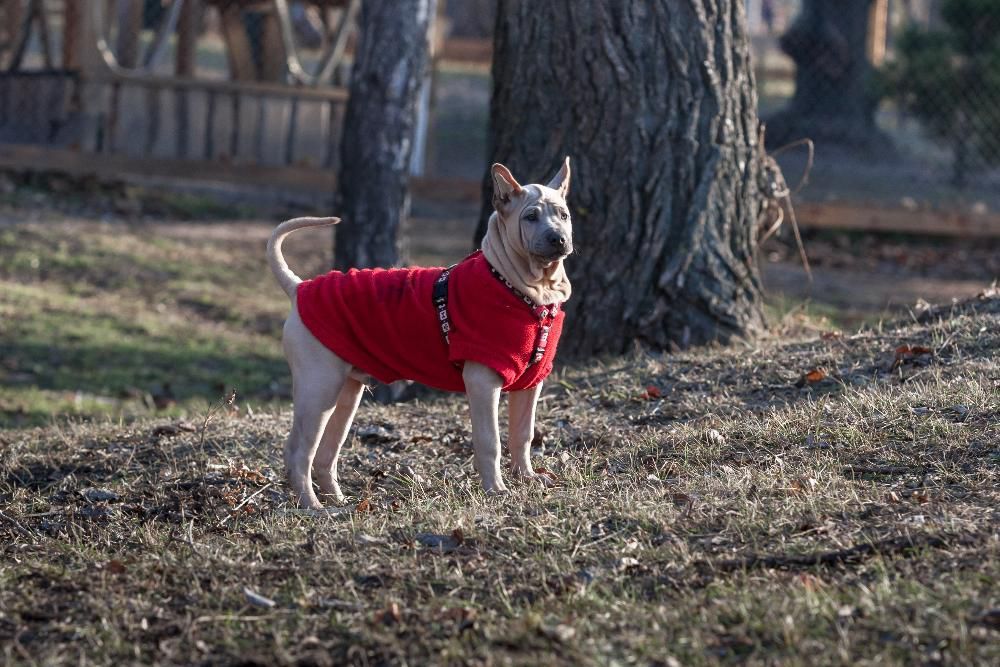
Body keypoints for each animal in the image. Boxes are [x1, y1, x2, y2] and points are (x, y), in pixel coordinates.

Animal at [270, 159, 576, 508]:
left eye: (564, 215)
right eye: (530, 217)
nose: (558, 239)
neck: (527, 293)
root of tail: (300, 288)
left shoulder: (531, 383)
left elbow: (523, 435)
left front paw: (526, 478)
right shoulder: (483, 381)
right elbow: (490, 441)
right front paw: (496, 490)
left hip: (346, 391)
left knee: (325, 453)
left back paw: (338, 501)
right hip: (319, 386)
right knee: (298, 452)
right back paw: (313, 507)